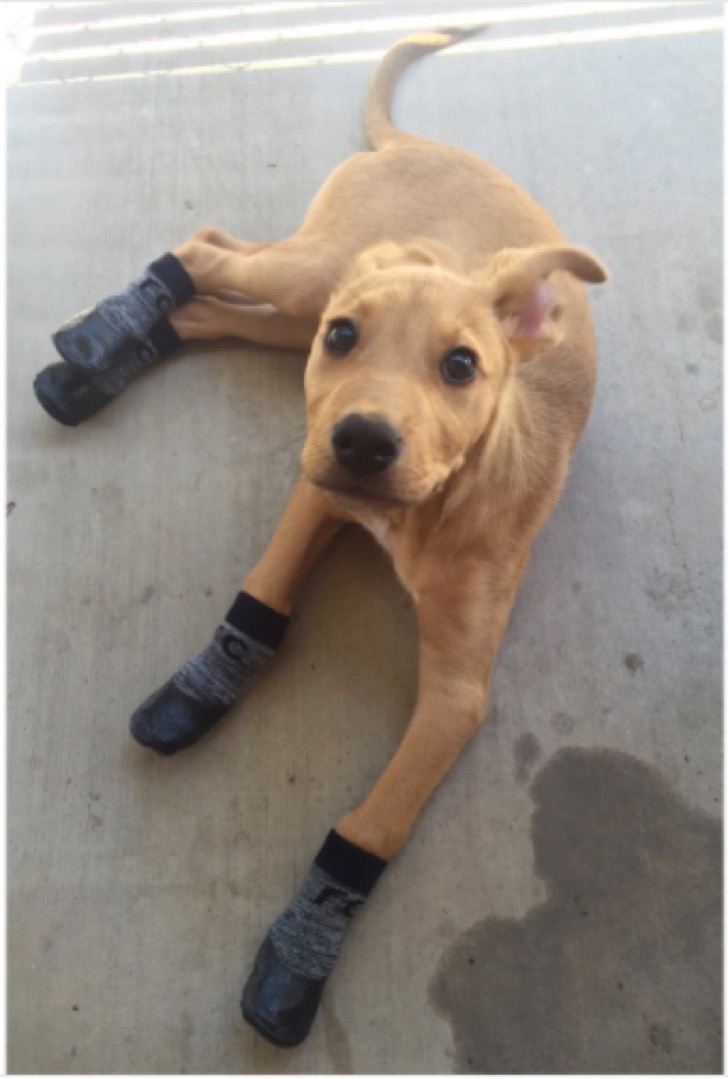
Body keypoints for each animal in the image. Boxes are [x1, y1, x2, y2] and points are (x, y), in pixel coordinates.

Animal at [34, 29, 608, 1048]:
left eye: (463, 366)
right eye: (350, 340)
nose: (364, 440)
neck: (420, 511)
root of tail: (427, 146)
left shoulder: (456, 695)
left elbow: (374, 822)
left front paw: (301, 951)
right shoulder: (317, 485)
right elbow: (262, 593)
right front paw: (200, 687)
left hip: (294, 310)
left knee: (212, 305)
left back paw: (99, 363)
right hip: (312, 281)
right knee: (209, 249)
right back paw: (102, 335)